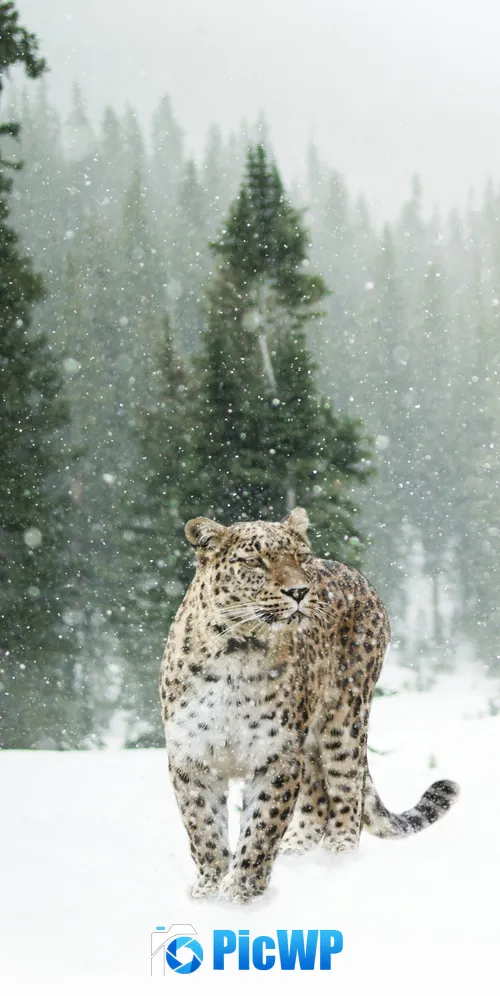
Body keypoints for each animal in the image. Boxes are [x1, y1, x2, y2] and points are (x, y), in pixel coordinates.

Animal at [160, 507, 459, 904]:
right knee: (317, 795)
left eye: (300, 558)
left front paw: (241, 894)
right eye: (255, 561)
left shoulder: (277, 755)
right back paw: (297, 851)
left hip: (344, 720)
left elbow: (261, 829)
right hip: (312, 741)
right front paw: (209, 890)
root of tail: (356, 575)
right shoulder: (191, 757)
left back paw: (338, 859)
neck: (237, 654)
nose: (299, 591)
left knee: (346, 789)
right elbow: (204, 829)